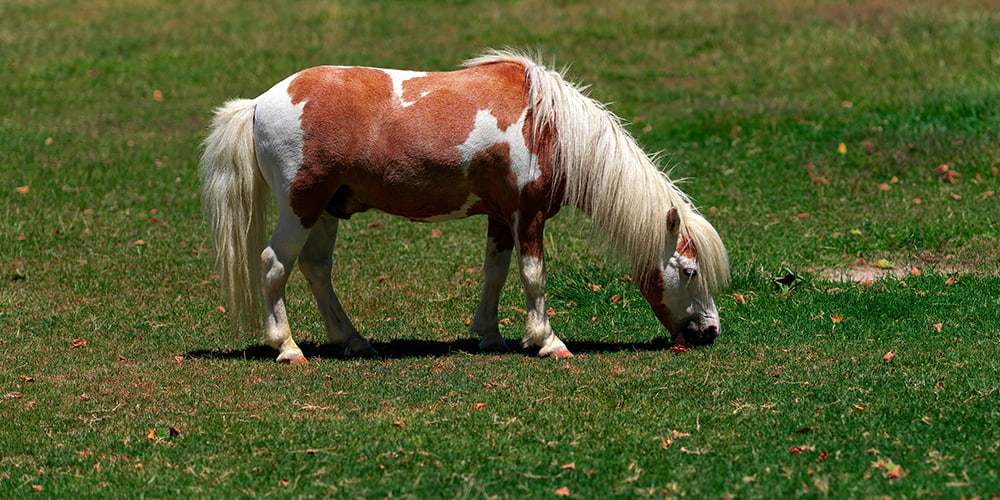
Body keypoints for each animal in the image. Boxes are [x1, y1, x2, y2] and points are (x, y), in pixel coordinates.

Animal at [199, 50, 728, 364]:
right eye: (688, 271)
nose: (710, 331)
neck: (548, 125)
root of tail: (259, 103)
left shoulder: (500, 216)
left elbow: (495, 272)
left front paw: (490, 336)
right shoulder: (528, 215)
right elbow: (533, 275)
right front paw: (548, 341)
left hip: (327, 210)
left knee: (315, 269)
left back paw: (352, 340)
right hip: (300, 208)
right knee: (275, 265)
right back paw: (288, 349)